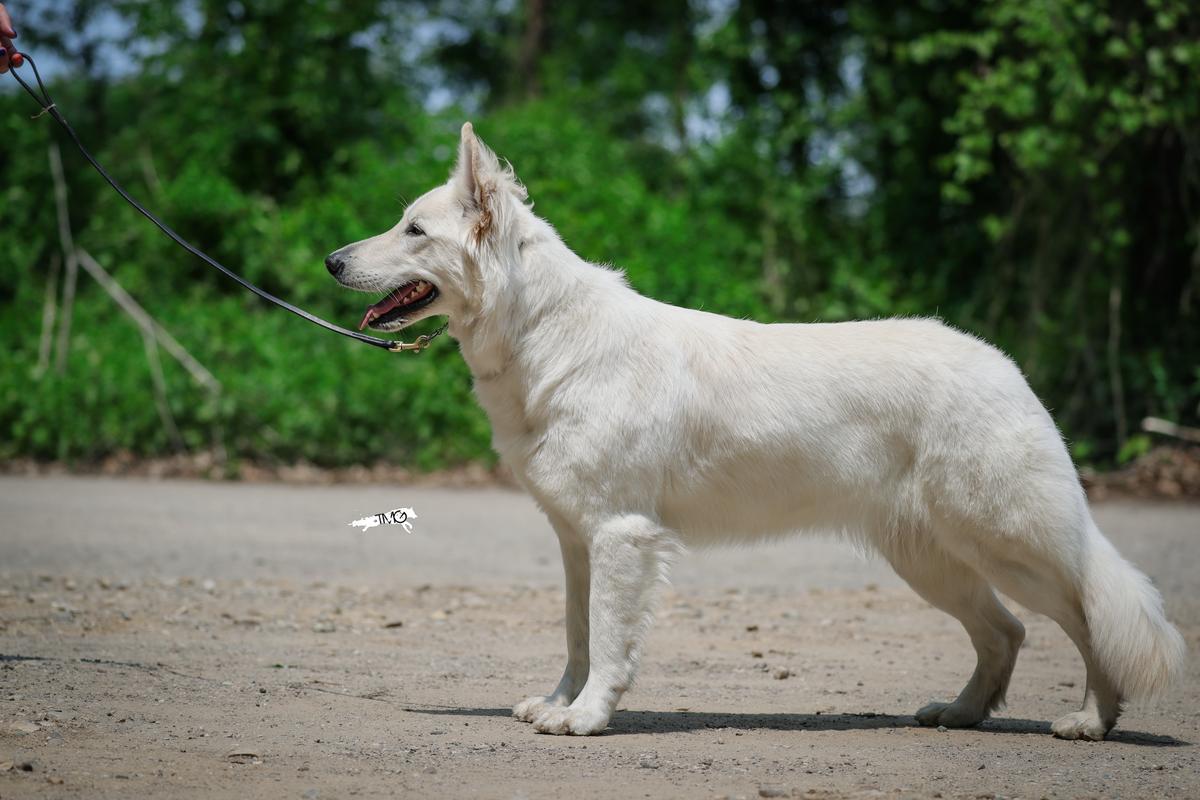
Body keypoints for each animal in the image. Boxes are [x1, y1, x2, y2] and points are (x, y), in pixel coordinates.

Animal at [326, 122, 1180, 743]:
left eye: (414, 230)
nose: (332, 260)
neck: (546, 335)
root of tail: (1003, 365)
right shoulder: (577, 541)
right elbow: (576, 633)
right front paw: (560, 703)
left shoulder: (620, 536)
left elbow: (608, 639)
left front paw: (589, 717)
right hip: (930, 559)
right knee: (1005, 631)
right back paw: (962, 713)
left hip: (1006, 542)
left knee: (1089, 615)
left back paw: (1091, 720)